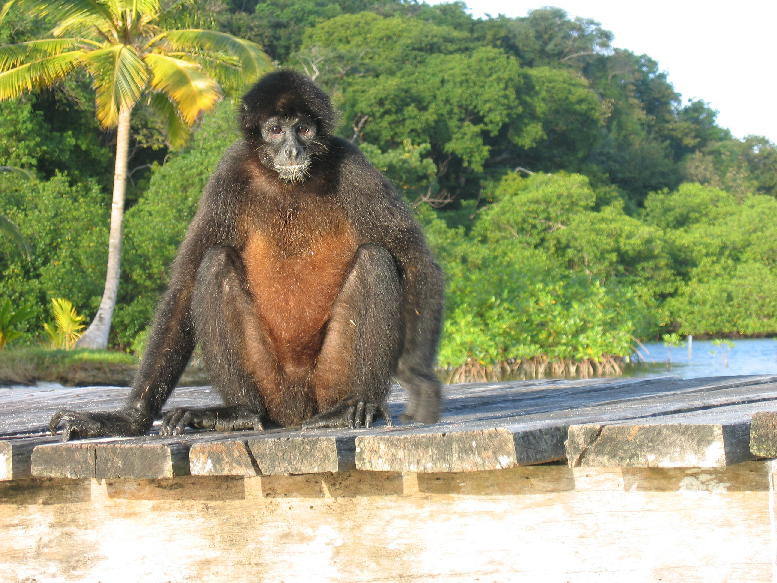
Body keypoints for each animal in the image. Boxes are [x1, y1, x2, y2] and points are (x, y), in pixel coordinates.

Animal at [49, 70, 444, 440]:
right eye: (275, 130)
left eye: (303, 129)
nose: (292, 151)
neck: (289, 183)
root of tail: (295, 408)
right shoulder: (230, 170)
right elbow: (185, 285)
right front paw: (126, 420)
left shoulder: (353, 165)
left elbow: (414, 259)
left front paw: (419, 380)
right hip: (269, 381)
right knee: (215, 261)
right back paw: (239, 411)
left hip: (328, 379)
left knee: (375, 259)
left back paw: (353, 406)